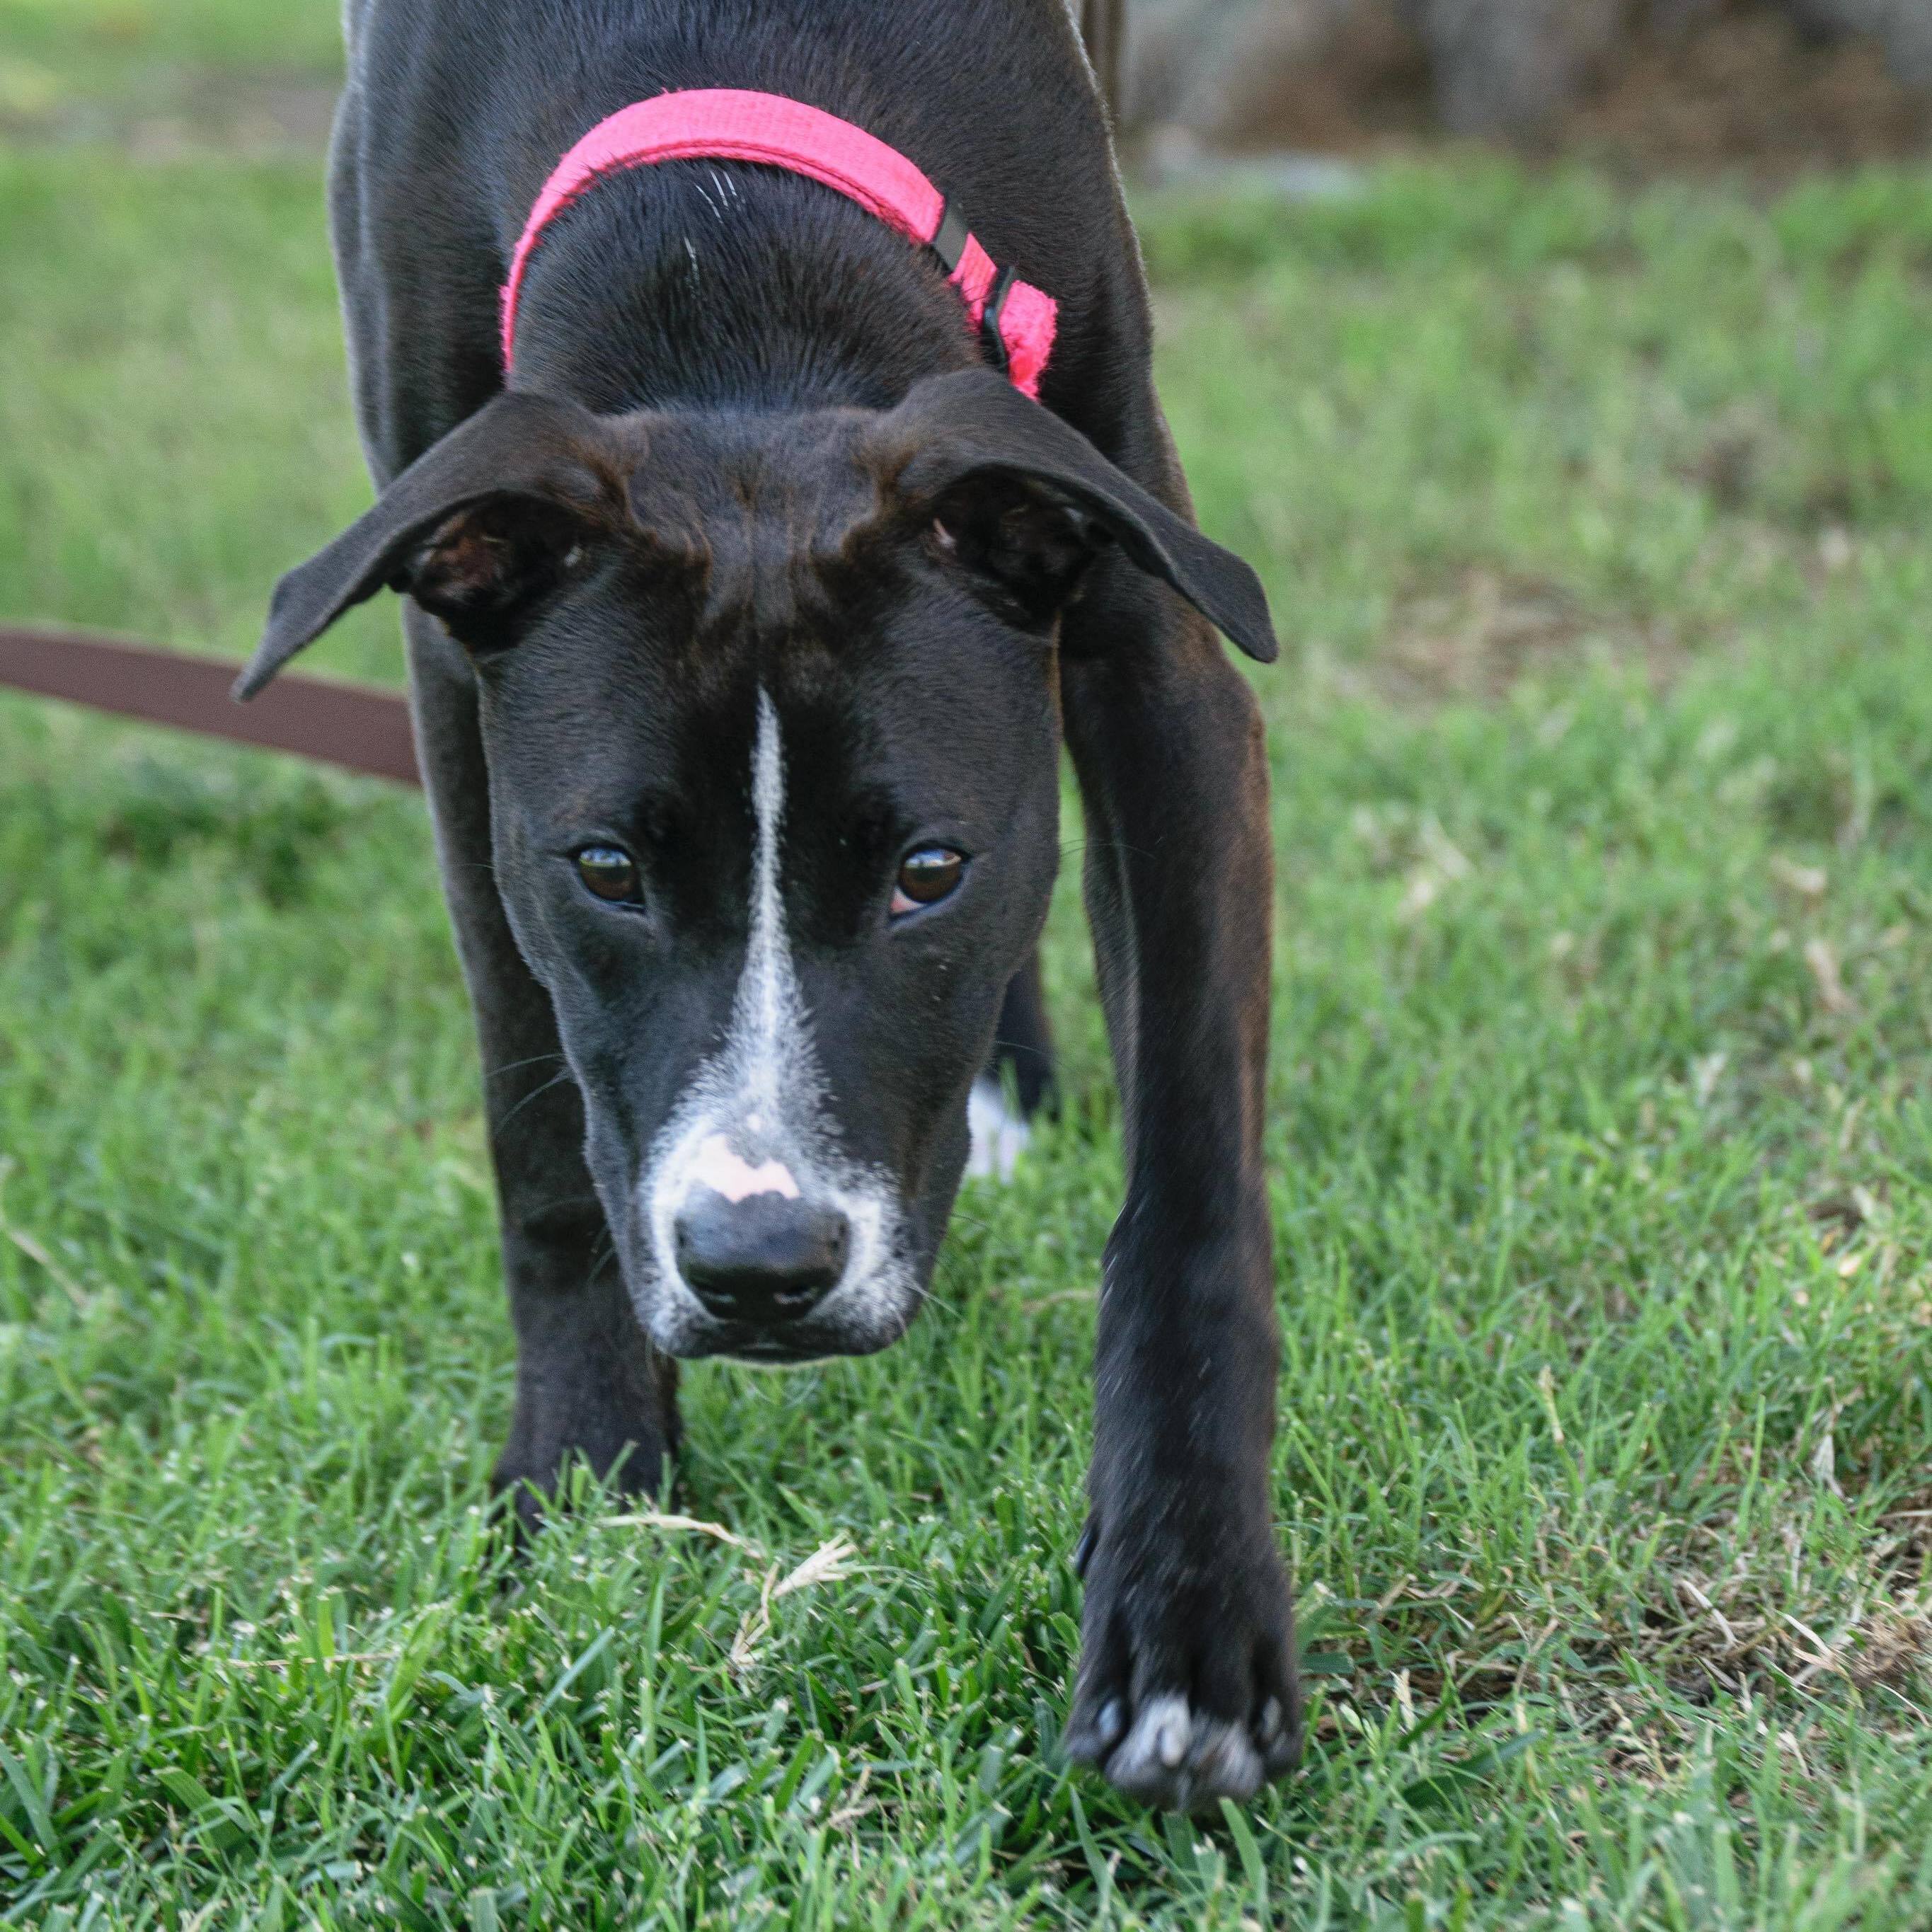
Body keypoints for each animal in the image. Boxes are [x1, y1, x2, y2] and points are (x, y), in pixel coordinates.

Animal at [241, 0, 1298, 1808]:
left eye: (928, 873)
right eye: (608, 871)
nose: (760, 1269)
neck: (725, 245)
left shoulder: (1161, 651)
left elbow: (1192, 1191)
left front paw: (1185, 1623)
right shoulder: (463, 711)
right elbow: (540, 1130)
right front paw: (591, 1478)